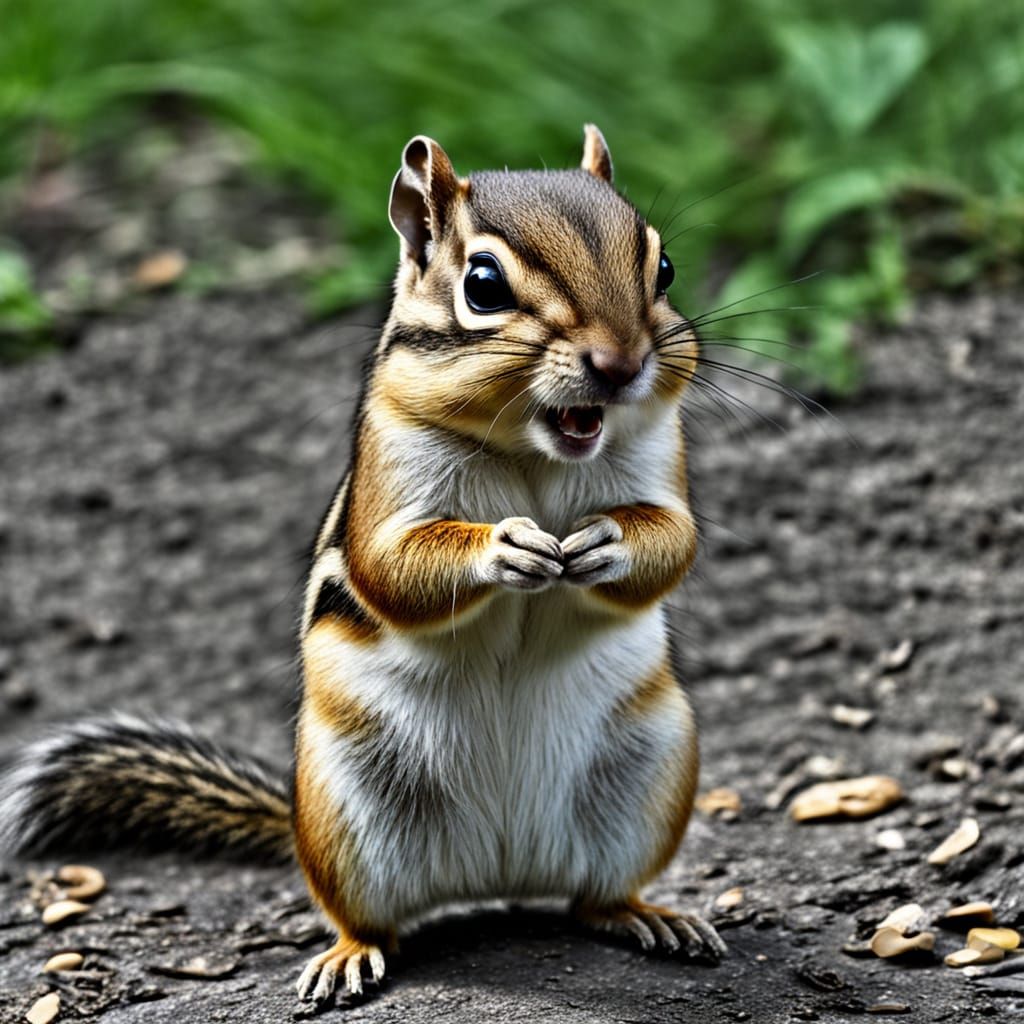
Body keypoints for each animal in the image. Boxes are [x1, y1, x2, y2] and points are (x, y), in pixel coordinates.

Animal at [0, 124, 725, 1004]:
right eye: (483, 285)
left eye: (665, 268)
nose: (620, 365)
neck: (535, 451)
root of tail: (499, 872)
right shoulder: (389, 459)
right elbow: (390, 568)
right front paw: (506, 545)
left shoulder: (661, 458)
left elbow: (675, 541)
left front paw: (606, 542)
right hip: (348, 810)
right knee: (366, 917)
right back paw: (349, 955)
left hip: (652, 765)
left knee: (596, 896)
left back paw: (648, 916)